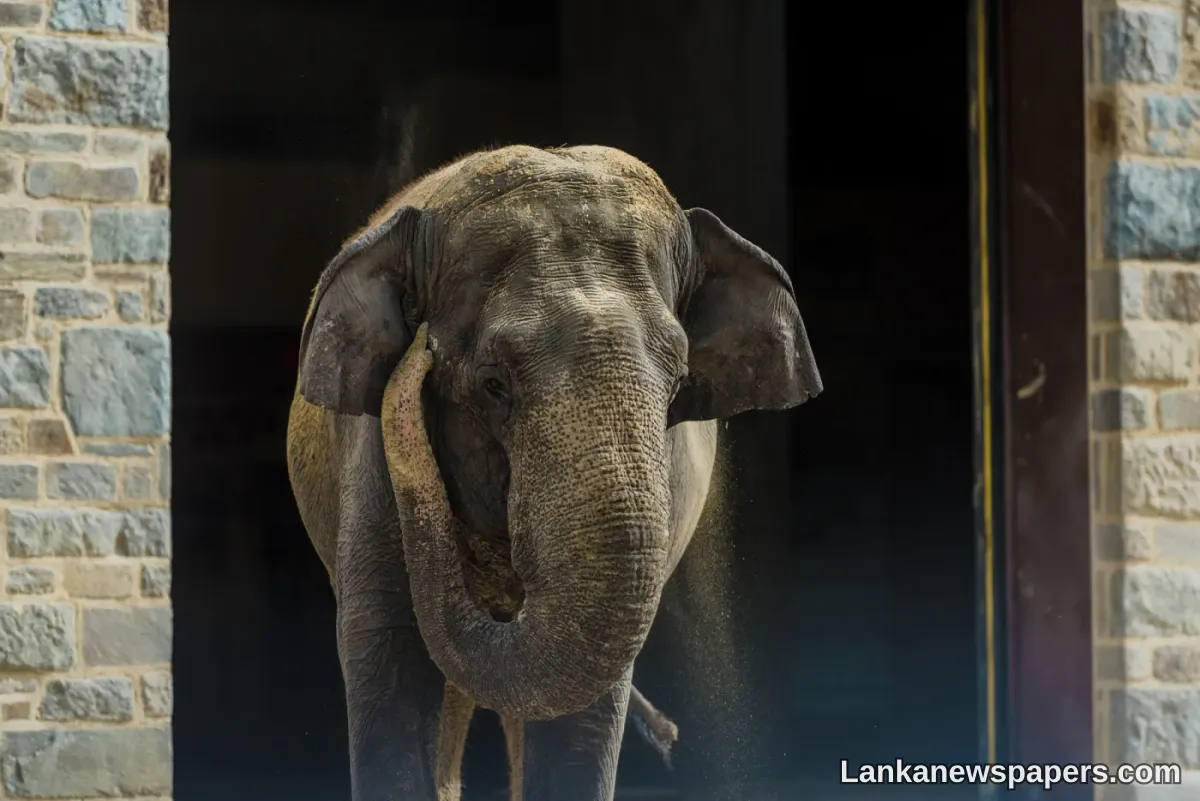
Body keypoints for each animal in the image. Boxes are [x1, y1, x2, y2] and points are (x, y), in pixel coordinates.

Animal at [285, 144, 822, 801]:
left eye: (678, 386)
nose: (422, 346)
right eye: (494, 384)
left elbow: (580, 725)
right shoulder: (371, 467)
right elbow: (387, 662)